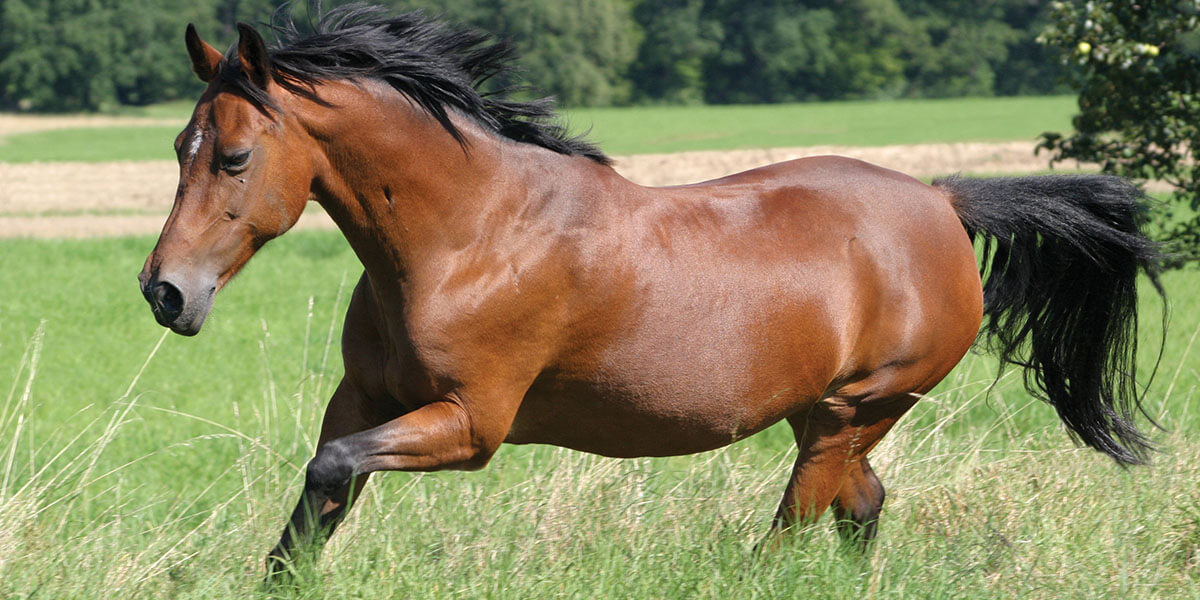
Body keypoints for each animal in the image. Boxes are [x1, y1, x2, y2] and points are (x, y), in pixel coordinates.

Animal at [138, 5, 1161, 576]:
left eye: (234, 157)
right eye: (180, 146)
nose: (165, 294)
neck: (469, 237)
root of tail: (946, 203)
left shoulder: (470, 425)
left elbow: (333, 470)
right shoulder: (364, 400)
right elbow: (318, 498)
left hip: (855, 409)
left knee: (794, 533)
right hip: (829, 416)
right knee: (860, 510)